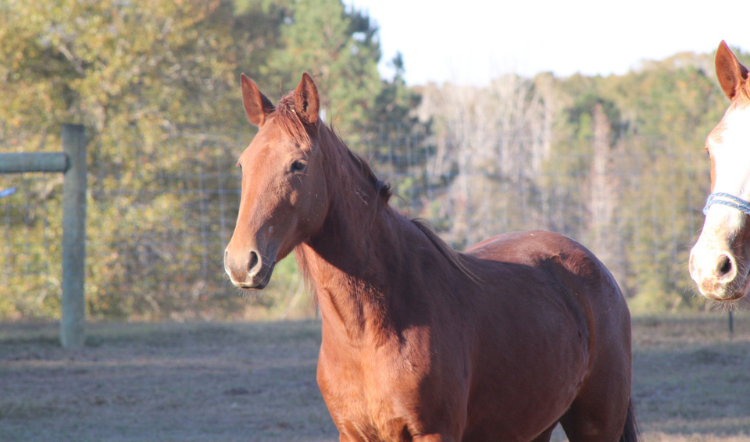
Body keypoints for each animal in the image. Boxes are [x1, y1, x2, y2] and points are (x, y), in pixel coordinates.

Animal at [225, 73, 640, 442]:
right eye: (243, 164)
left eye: (298, 164)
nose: (241, 262)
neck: (370, 328)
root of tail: (596, 269)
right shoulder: (353, 434)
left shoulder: (434, 432)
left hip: (595, 424)